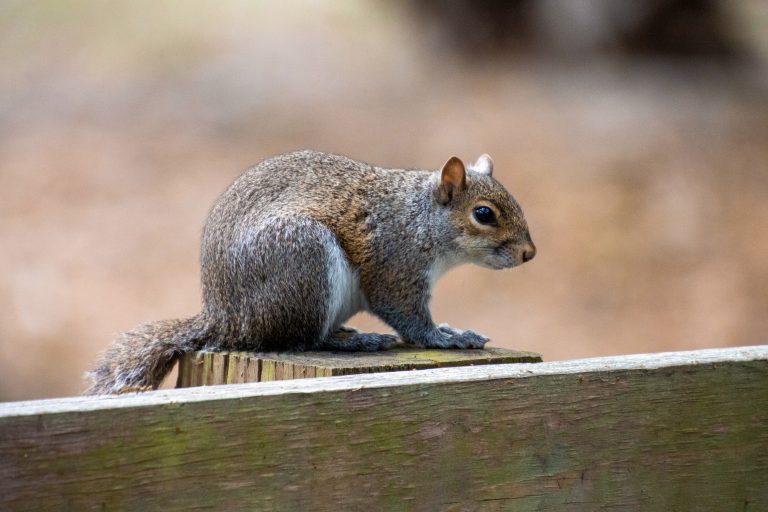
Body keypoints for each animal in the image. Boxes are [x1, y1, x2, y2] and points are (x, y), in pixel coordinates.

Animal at [85, 150, 536, 394]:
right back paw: (356, 341)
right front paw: (448, 337)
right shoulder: (395, 266)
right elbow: (409, 318)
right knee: (301, 339)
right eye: (483, 214)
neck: (419, 217)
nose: (529, 253)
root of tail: (225, 319)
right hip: (304, 261)